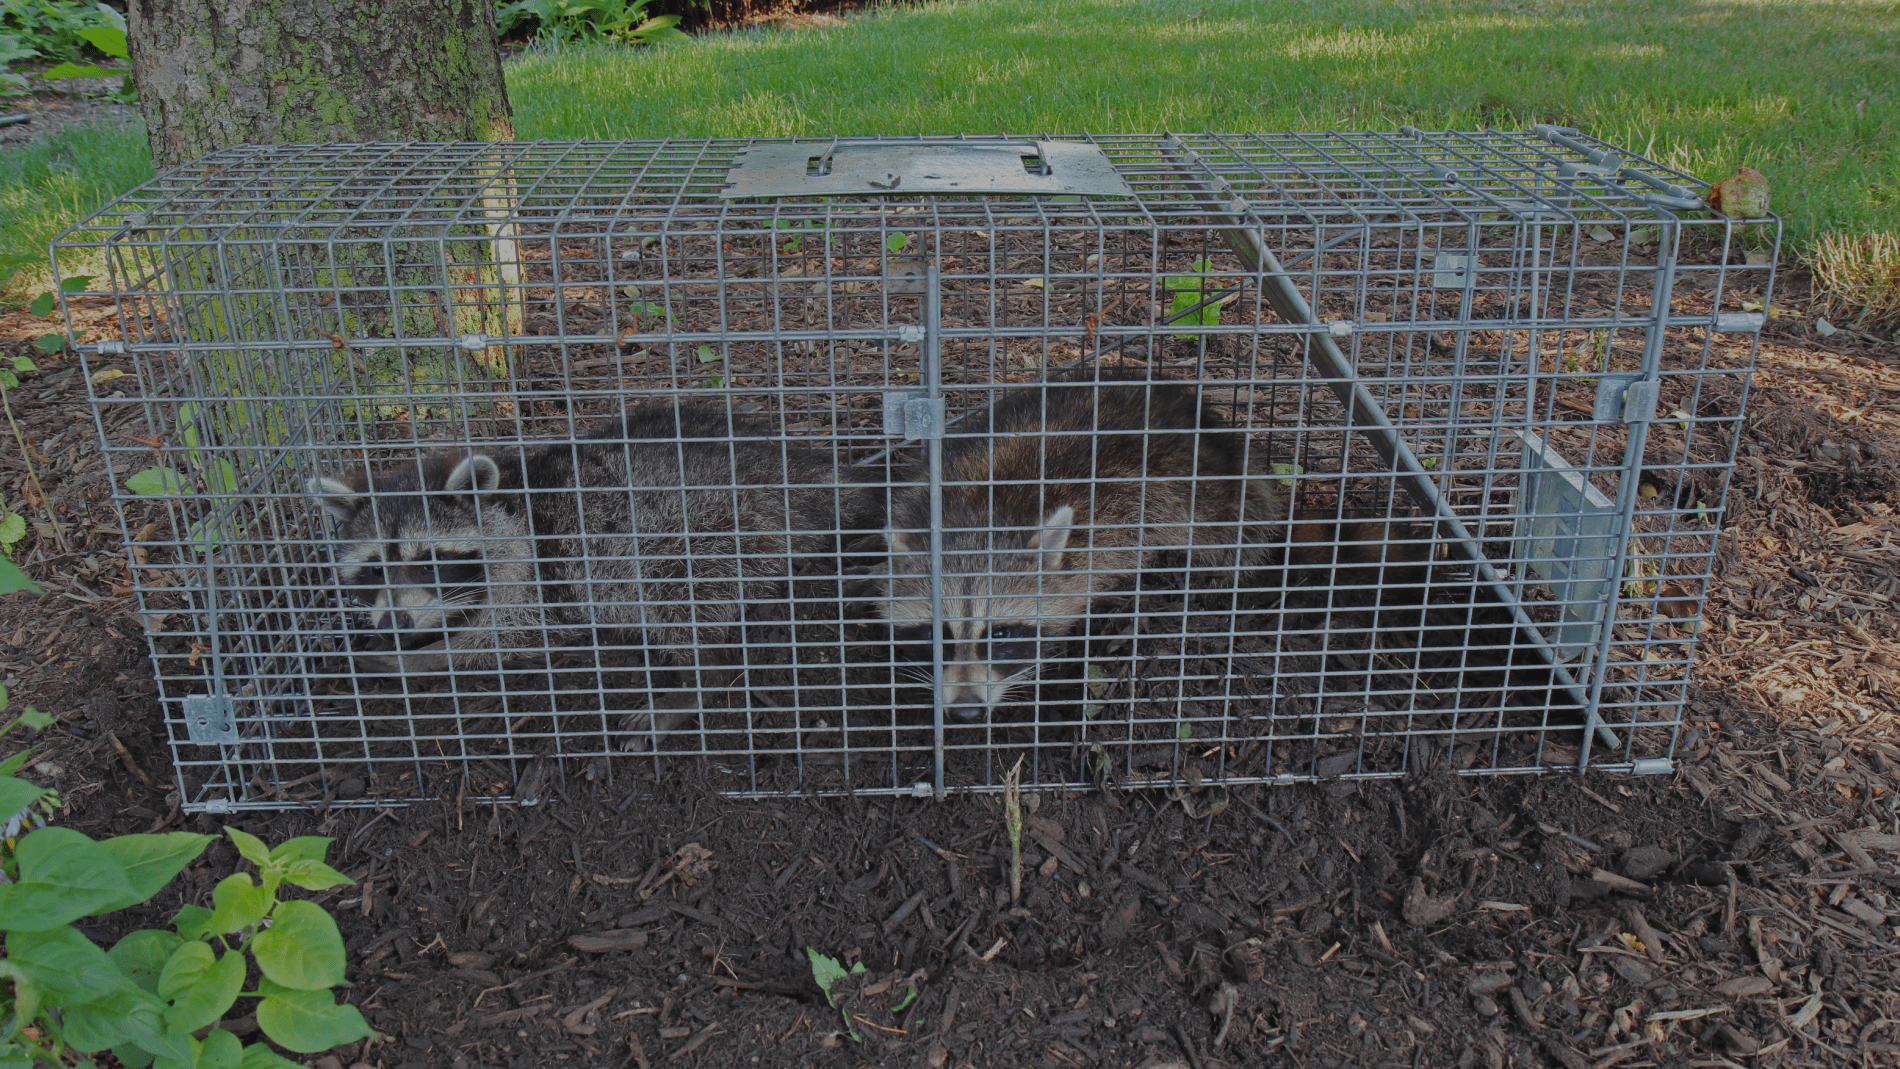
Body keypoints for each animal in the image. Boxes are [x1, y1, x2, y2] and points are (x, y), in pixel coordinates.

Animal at [308, 402, 882, 703]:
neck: (510, 501)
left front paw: (418, 658)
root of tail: (805, 471)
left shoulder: (534, 576)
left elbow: (500, 638)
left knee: (675, 597)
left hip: (716, 525)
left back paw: (693, 681)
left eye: (429, 560)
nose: (396, 625)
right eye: (373, 570)